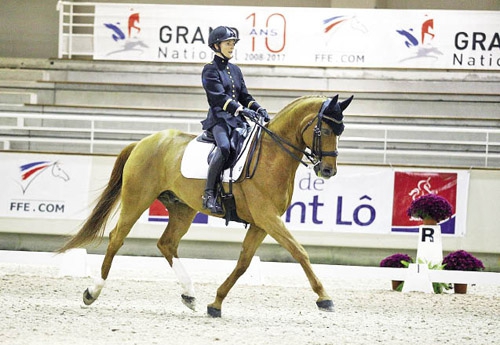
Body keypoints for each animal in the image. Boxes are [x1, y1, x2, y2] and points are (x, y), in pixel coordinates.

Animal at [58, 92, 354, 316]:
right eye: (326, 129)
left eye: (341, 131)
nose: (328, 171)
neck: (271, 156)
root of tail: (144, 142)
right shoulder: (268, 217)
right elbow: (299, 252)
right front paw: (324, 298)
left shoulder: (261, 223)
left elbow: (244, 263)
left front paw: (216, 303)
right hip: (137, 198)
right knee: (117, 238)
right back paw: (92, 292)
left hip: (182, 208)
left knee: (167, 244)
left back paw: (189, 295)